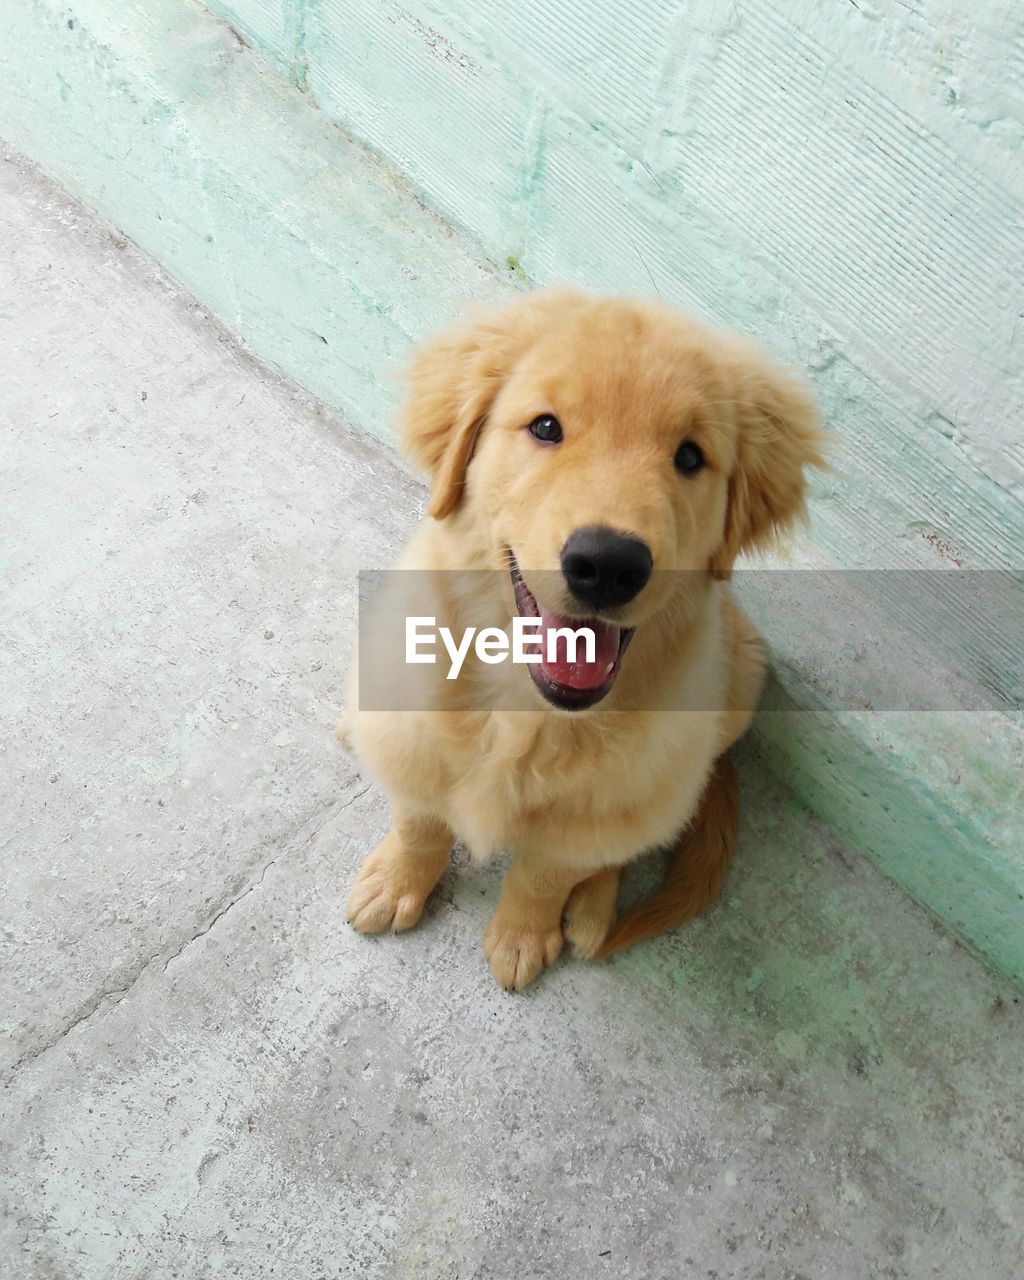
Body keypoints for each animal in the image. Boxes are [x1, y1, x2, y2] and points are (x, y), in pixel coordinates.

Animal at [343, 290, 824, 988]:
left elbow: (545, 875)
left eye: (689, 457)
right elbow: (420, 822)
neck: (524, 709)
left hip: (737, 686)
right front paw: (397, 882)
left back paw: (595, 907)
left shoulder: (599, 808)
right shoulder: (416, 734)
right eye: (546, 428)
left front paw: (522, 935)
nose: (608, 564)